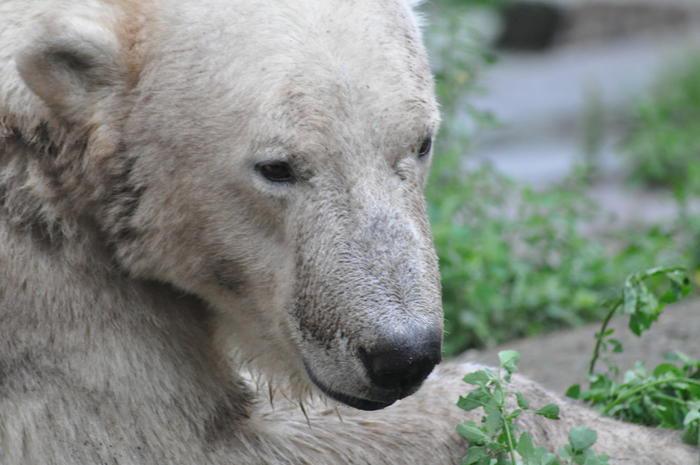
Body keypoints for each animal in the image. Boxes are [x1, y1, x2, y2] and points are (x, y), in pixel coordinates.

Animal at [0, 0, 695, 464]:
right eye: (277, 167)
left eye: (422, 141)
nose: (401, 355)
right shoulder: (60, 311)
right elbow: (187, 442)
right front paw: (651, 441)